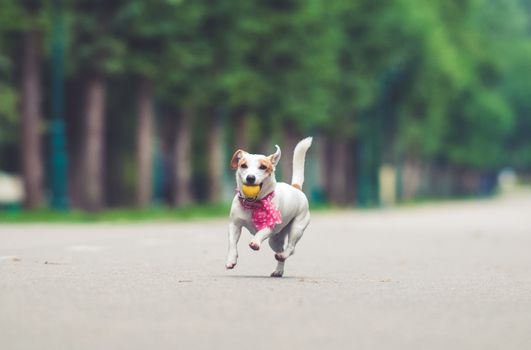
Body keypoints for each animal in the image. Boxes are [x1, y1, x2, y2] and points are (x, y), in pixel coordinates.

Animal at [224, 137, 312, 276]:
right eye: (243, 165)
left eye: (263, 167)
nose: (250, 178)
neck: (253, 204)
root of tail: (296, 188)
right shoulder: (234, 225)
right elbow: (232, 243)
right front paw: (231, 260)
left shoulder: (270, 225)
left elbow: (261, 232)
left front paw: (255, 242)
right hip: (275, 240)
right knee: (281, 249)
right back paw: (278, 270)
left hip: (297, 227)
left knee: (291, 248)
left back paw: (283, 255)